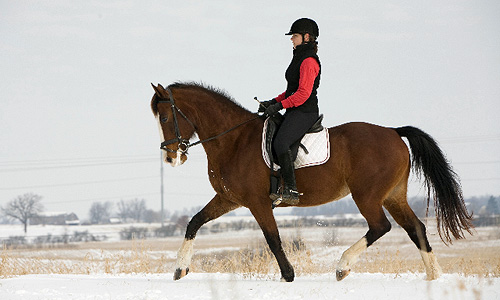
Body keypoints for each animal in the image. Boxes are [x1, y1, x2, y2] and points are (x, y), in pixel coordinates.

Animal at [149, 81, 472, 282]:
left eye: (164, 117)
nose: (170, 158)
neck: (234, 140)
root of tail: (393, 132)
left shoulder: (256, 202)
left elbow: (273, 239)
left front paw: (288, 276)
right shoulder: (228, 199)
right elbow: (194, 222)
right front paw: (180, 269)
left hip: (367, 196)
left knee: (381, 226)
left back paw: (343, 267)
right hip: (394, 195)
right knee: (415, 228)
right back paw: (433, 276)